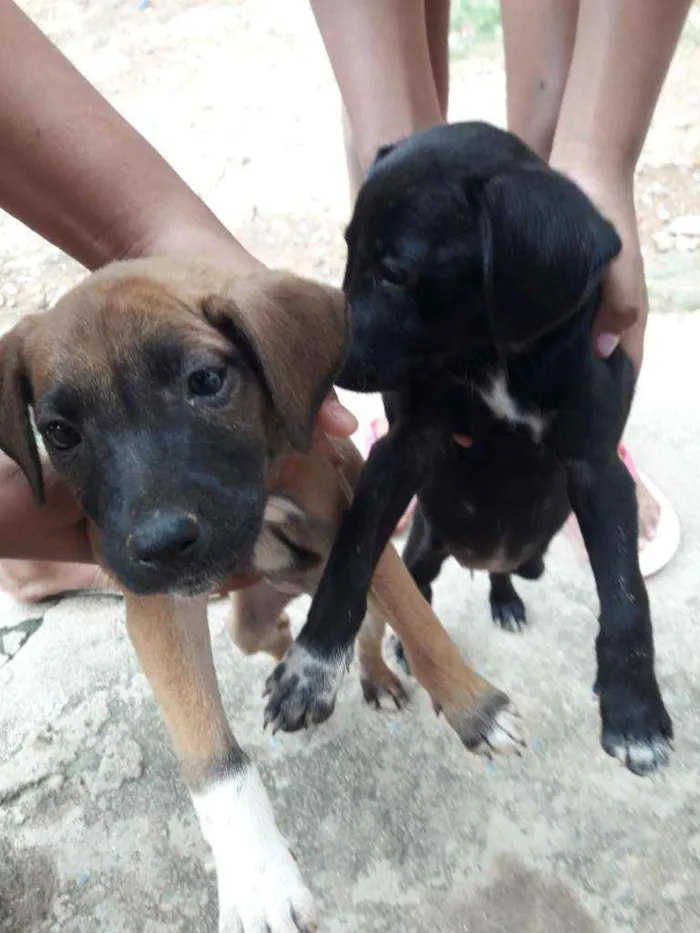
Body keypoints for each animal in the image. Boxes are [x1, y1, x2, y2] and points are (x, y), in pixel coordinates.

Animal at [0, 258, 520, 932]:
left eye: (205, 381)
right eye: (60, 433)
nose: (161, 542)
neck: (266, 481)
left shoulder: (355, 523)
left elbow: (421, 626)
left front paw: (477, 709)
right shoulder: (159, 607)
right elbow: (210, 754)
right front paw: (259, 879)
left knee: (371, 628)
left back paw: (368, 675)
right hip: (244, 620)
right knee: (269, 636)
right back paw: (291, 668)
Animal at [266, 120, 672, 776]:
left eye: (396, 272)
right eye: (348, 250)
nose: (320, 362)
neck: (491, 359)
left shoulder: (598, 468)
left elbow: (626, 593)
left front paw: (635, 710)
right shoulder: (404, 449)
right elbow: (353, 553)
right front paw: (312, 668)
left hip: (528, 554)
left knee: (505, 573)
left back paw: (506, 600)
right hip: (430, 541)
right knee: (418, 582)